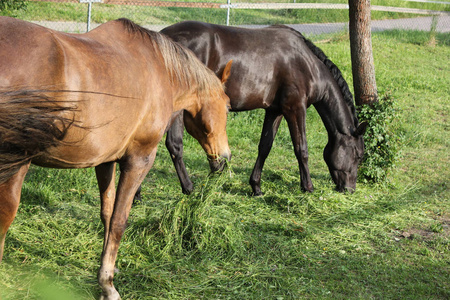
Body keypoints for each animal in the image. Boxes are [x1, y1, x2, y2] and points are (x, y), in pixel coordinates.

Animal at [0, 17, 230, 300]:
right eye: (227, 106)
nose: (224, 158)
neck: (161, 69)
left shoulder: (105, 161)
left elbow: (107, 216)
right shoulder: (139, 161)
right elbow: (120, 221)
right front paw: (108, 284)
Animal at [160, 21, 368, 195]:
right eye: (358, 155)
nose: (350, 189)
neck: (308, 64)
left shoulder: (275, 111)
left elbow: (265, 147)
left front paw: (256, 186)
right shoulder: (295, 108)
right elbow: (301, 149)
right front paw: (308, 187)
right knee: (175, 144)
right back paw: (189, 188)